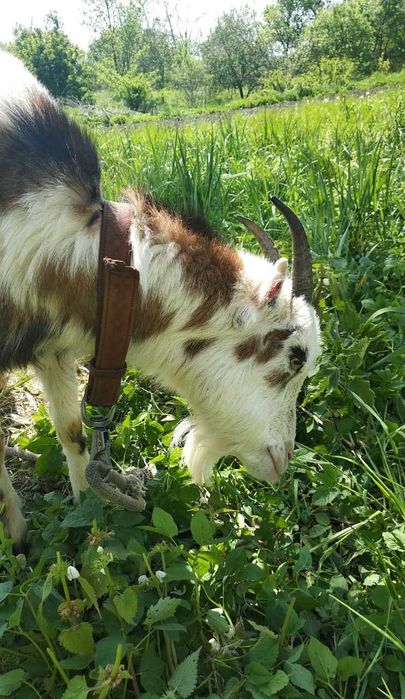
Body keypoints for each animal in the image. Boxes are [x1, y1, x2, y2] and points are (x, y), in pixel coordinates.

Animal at [0, 50, 321, 545]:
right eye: (296, 356)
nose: (281, 458)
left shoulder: (50, 348)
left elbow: (71, 429)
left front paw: (88, 511)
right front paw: (16, 533)